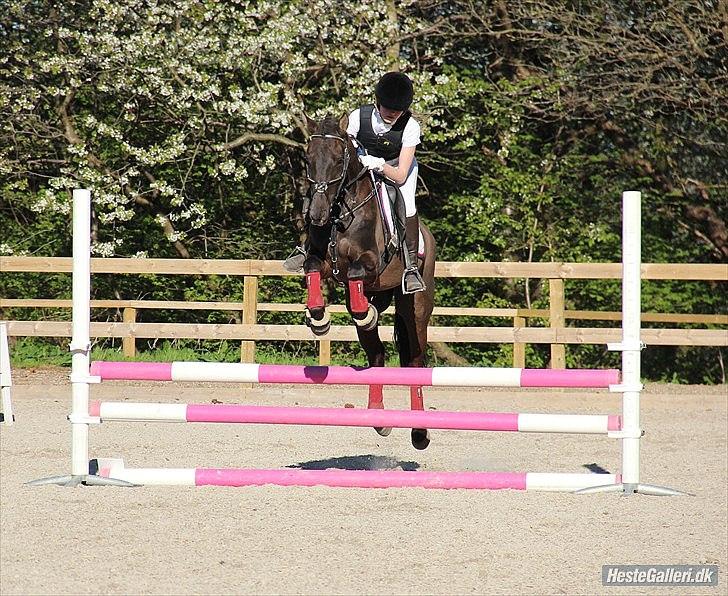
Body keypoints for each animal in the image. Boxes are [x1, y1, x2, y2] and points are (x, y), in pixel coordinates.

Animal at [302, 114, 438, 450]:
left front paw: (364, 313)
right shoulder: (322, 261)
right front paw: (318, 317)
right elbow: (312, 268)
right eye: (308, 159)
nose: (316, 215)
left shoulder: (371, 264)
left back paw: (419, 433)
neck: (342, 211)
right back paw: (378, 417)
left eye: (339, 160)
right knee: (376, 353)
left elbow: (355, 273)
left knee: (415, 361)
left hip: (416, 307)